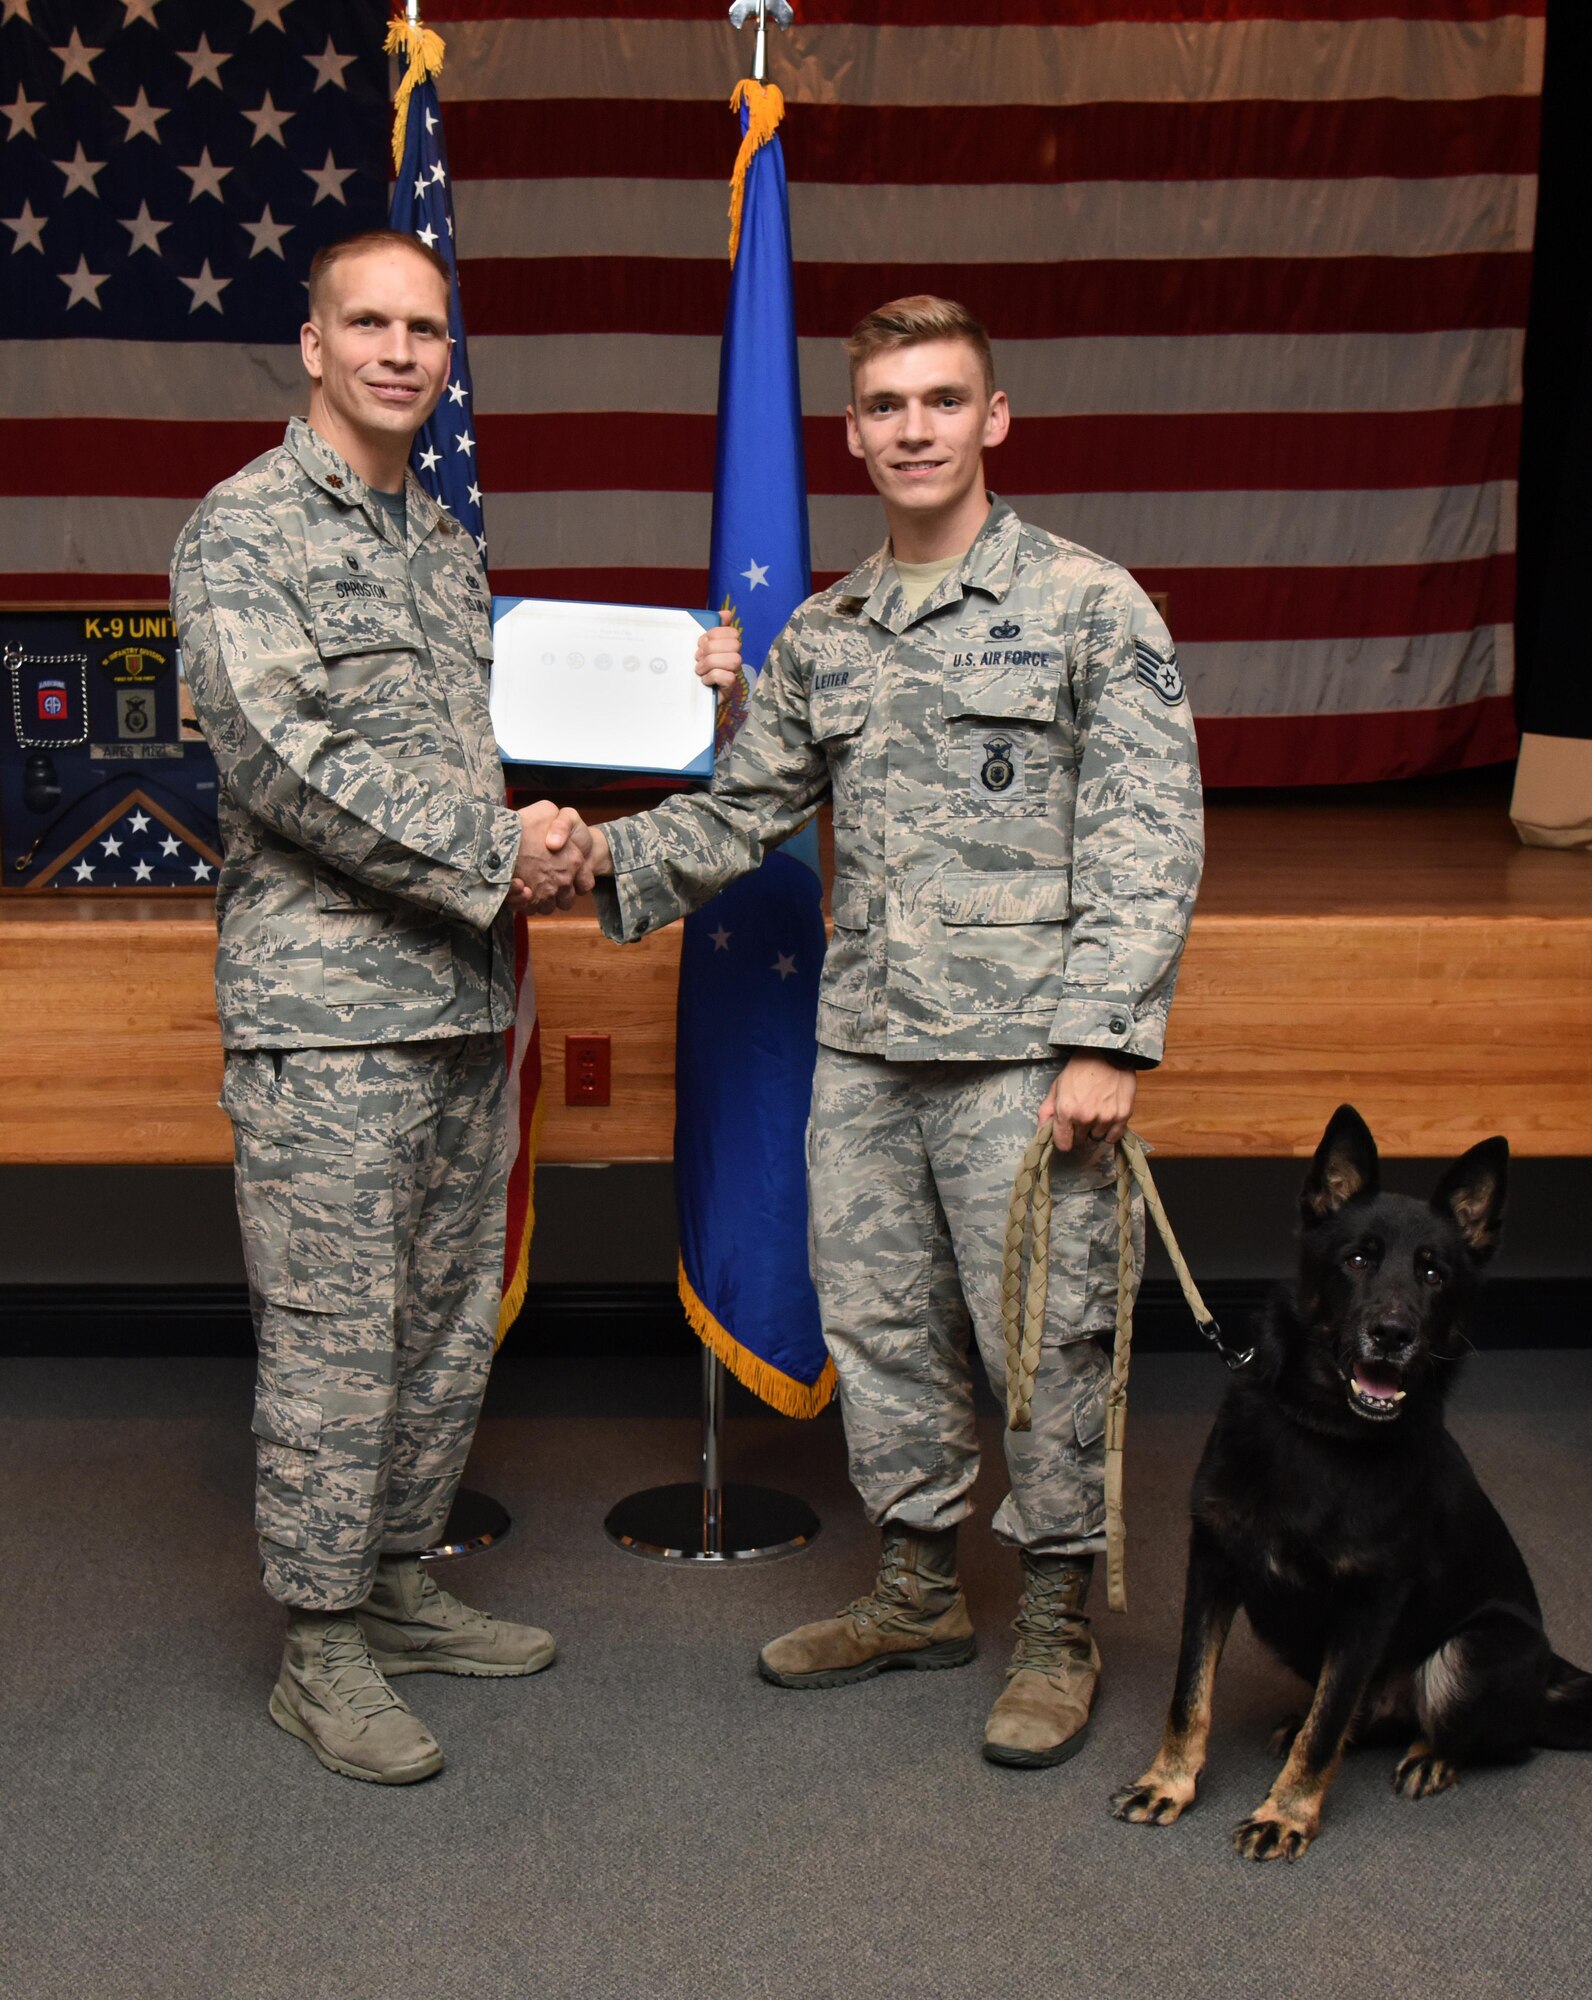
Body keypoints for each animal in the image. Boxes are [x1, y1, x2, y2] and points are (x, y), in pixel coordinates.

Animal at [1112, 1112, 1584, 1856]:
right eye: (1357, 1260)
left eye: (1433, 1273)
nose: (1392, 1334)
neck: (1322, 1429)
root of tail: (1549, 1677)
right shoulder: (1213, 1565)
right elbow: (1190, 1695)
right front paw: (1170, 1782)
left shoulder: (1369, 1606)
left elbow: (1328, 1724)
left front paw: (1286, 1813)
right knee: (1359, 1714)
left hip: (1473, 1651)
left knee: (1492, 1738)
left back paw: (1433, 1756)